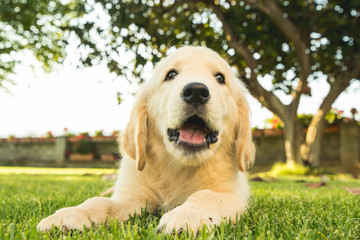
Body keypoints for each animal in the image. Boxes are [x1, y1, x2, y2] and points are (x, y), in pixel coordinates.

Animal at [37, 46, 256, 233]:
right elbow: (101, 202)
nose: (196, 91)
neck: (177, 169)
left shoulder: (232, 195)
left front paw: (188, 214)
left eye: (220, 77)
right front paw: (72, 213)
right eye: (171, 75)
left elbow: (206, 195)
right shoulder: (132, 197)